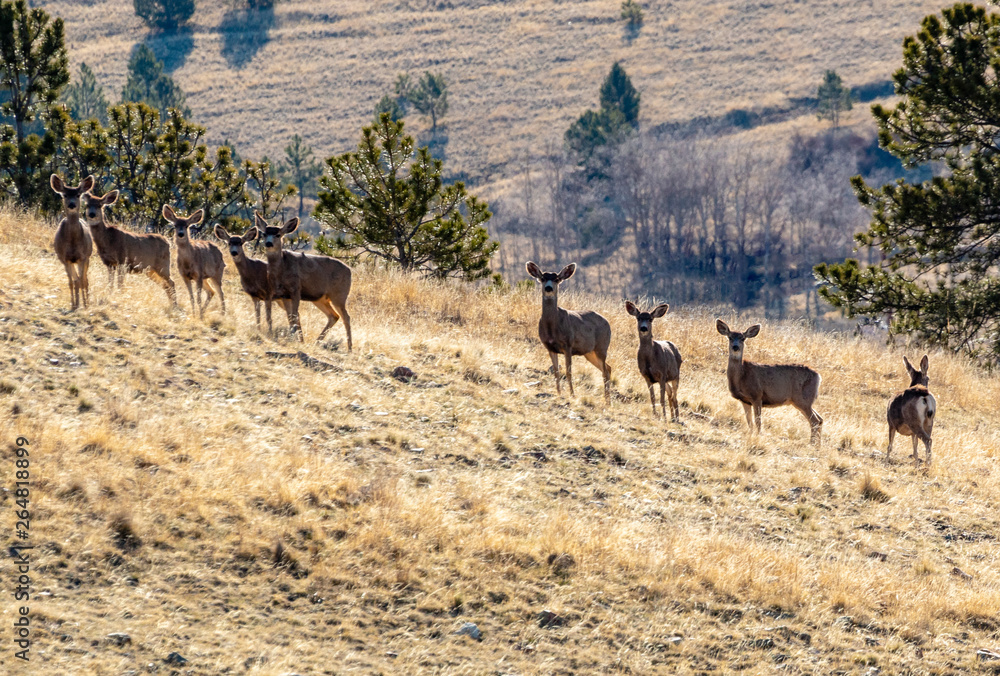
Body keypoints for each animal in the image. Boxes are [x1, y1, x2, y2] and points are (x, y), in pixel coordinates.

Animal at [50, 174, 95, 310]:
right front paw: (74, 304)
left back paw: (86, 303)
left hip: (87, 258)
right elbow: (71, 282)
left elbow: (82, 281)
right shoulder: (64, 259)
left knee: (85, 280)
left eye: (78, 195)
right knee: (77, 281)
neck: (73, 243)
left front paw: (84, 305)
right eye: (64, 195)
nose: (71, 205)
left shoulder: (83, 257)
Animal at [258, 212, 353, 350]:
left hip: (339, 295)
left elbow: (294, 315)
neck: (282, 269)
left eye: (278, 234)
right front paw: (297, 339)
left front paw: (293, 338)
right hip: (320, 299)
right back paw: (317, 342)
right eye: (264, 234)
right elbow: (291, 316)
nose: (269, 243)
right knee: (334, 316)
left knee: (346, 317)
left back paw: (349, 348)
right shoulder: (283, 295)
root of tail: (350, 271)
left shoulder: (296, 289)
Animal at [525, 262, 612, 404]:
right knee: (608, 368)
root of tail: (608, 323)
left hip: (602, 347)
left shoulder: (568, 345)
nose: (548, 288)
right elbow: (556, 372)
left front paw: (572, 394)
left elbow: (568, 372)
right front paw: (559, 393)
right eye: (542, 278)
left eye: (556, 279)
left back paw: (607, 402)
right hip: (589, 352)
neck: (552, 327)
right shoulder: (550, 347)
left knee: (605, 371)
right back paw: (608, 400)